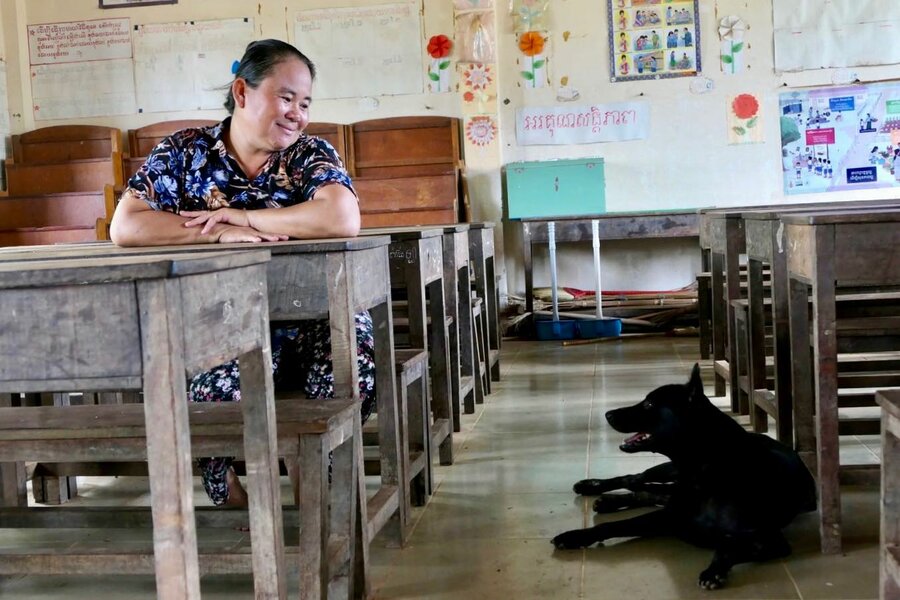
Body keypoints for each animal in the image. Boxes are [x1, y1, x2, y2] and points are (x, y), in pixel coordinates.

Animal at [552, 364, 820, 588]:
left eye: (649, 405)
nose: (607, 414)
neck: (705, 470)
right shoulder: (670, 515)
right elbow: (612, 526)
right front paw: (574, 536)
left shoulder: (771, 541)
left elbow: (729, 545)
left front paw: (715, 570)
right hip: (666, 470)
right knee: (636, 479)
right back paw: (593, 487)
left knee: (648, 491)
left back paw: (609, 501)